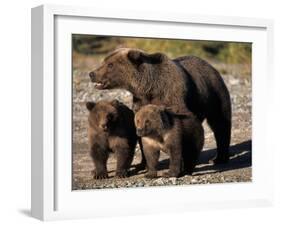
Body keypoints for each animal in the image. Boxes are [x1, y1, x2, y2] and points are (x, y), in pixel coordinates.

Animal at [88, 48, 231, 164]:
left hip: (214, 93)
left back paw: (219, 158)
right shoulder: (140, 102)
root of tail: (211, 65)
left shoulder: (172, 96)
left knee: (221, 123)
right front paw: (144, 163)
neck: (149, 87)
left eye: (110, 65)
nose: (92, 74)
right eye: (104, 61)